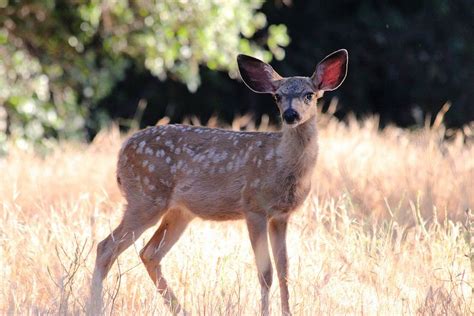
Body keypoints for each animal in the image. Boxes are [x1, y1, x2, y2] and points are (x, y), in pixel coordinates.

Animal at [90, 48, 348, 314]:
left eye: (309, 95)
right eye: (277, 96)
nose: (290, 114)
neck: (280, 162)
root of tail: (121, 152)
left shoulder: (280, 215)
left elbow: (284, 270)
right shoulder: (253, 206)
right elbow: (265, 272)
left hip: (179, 211)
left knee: (149, 253)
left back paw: (182, 310)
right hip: (146, 197)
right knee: (106, 247)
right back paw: (96, 306)